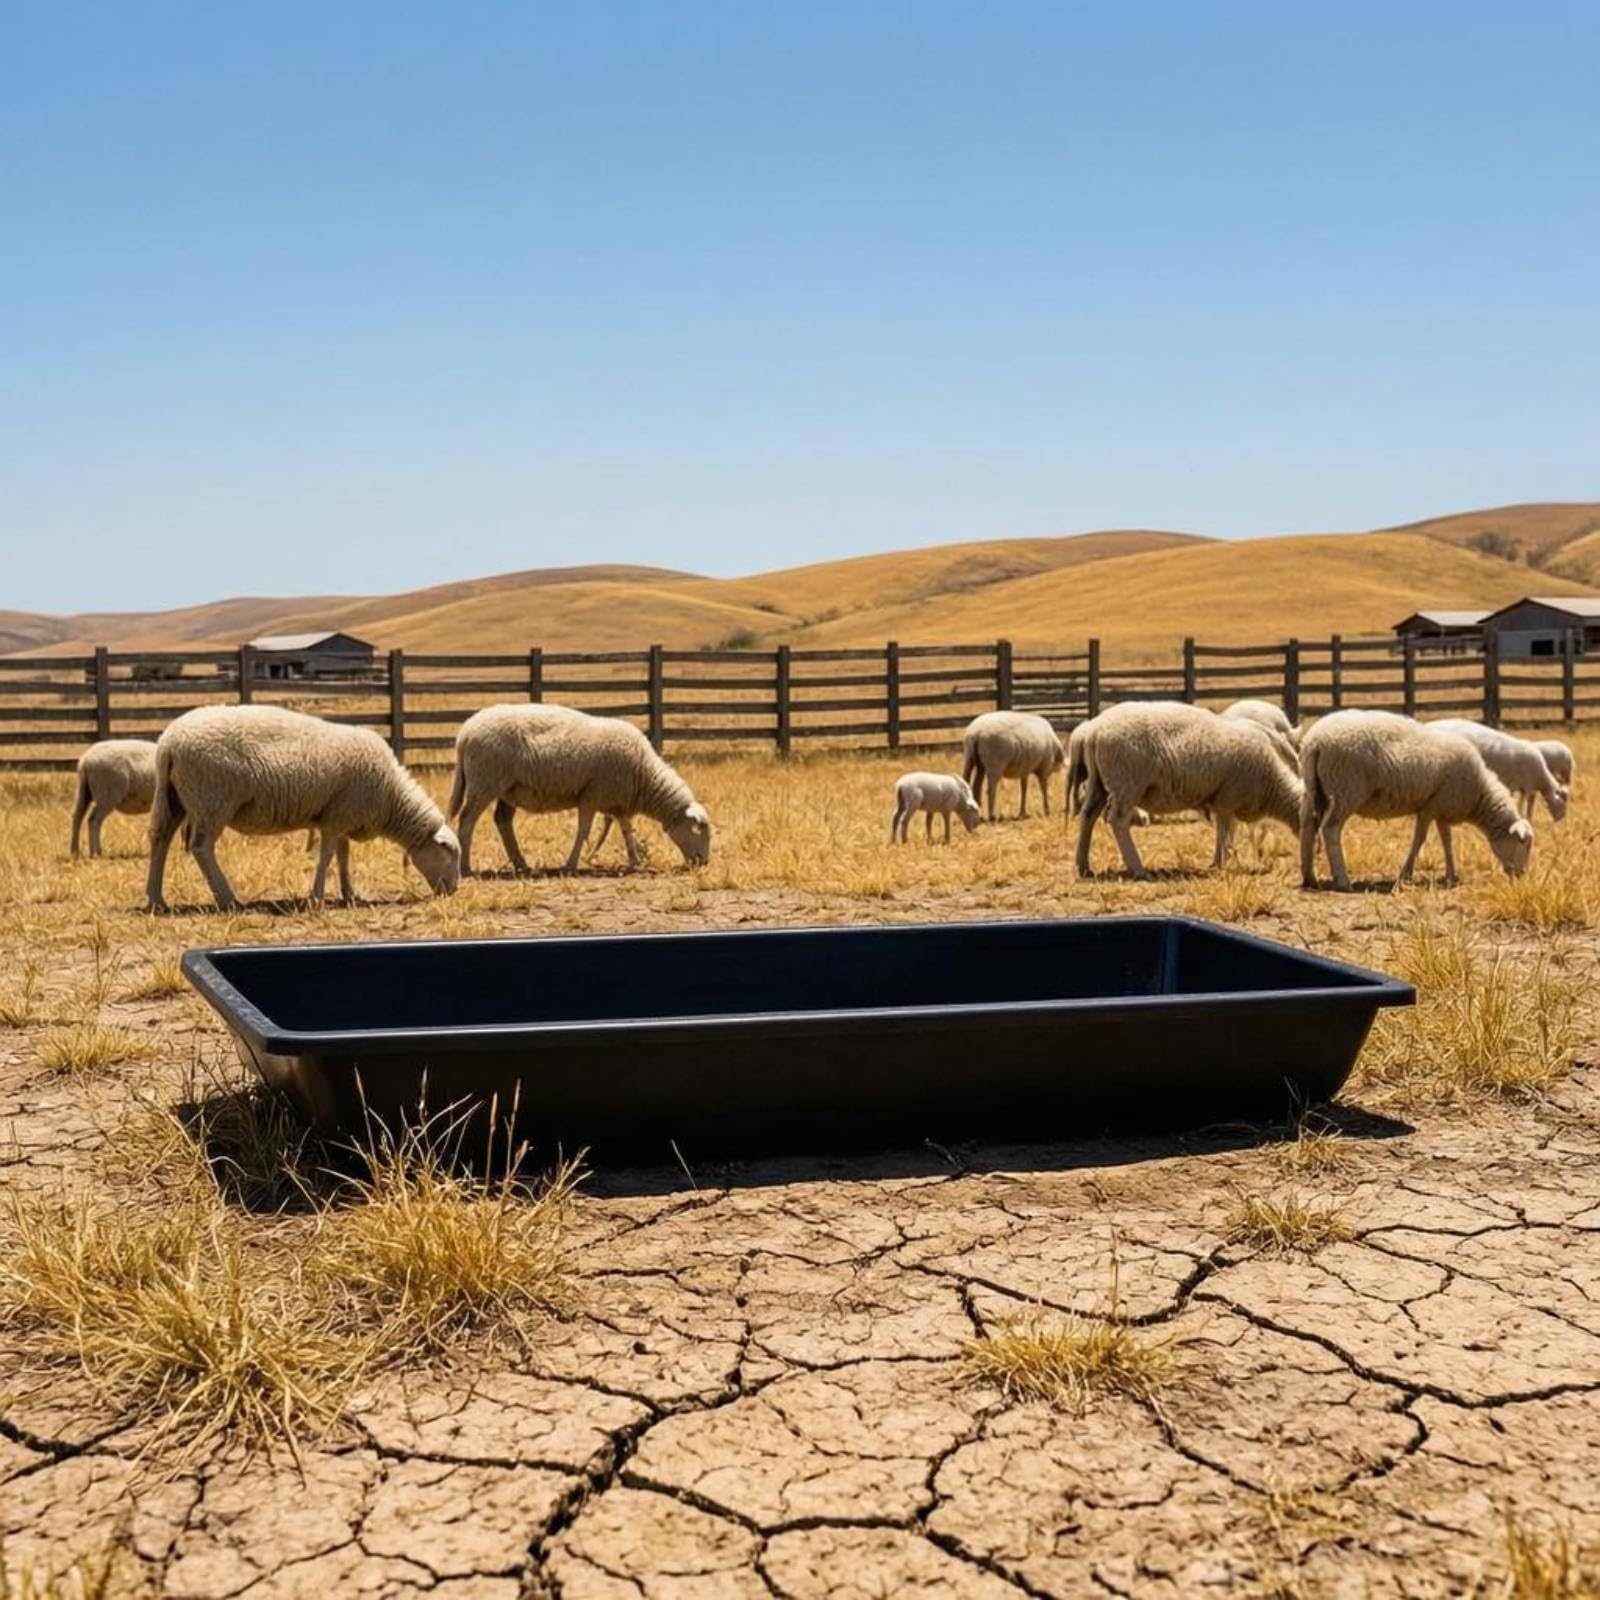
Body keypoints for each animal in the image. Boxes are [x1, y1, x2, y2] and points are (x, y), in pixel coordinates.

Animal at [145, 705, 461, 912]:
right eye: (450, 853)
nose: (454, 891)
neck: (391, 797)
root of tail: (169, 743)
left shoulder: (343, 815)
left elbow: (344, 856)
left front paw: (349, 894)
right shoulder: (337, 817)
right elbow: (328, 855)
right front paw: (317, 896)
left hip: (177, 798)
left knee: (160, 840)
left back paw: (156, 899)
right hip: (212, 799)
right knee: (201, 848)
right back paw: (227, 898)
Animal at [448, 704, 711, 874]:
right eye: (700, 830)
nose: (704, 863)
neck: (644, 775)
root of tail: (466, 731)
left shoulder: (617, 801)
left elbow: (627, 830)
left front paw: (635, 861)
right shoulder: (591, 796)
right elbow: (583, 830)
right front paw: (571, 864)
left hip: (508, 789)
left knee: (502, 821)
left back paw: (522, 864)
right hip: (484, 782)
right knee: (467, 819)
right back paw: (465, 867)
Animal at [1074, 701, 1303, 879]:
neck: (1271, 782)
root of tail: (1094, 730)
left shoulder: (1222, 801)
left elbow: (1224, 830)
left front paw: (1217, 861)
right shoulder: (1228, 797)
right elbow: (1226, 832)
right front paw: (1221, 862)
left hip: (1100, 783)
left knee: (1088, 815)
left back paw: (1083, 866)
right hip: (1127, 782)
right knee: (1119, 821)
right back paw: (1137, 868)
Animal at [1298, 710, 1532, 892]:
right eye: (1523, 843)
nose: (1521, 875)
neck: (1478, 793)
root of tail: (1316, 741)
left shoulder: (1442, 808)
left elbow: (1447, 841)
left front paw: (1451, 874)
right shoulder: (1430, 807)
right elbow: (1419, 840)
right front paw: (1405, 875)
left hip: (1315, 788)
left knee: (1308, 826)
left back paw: (1309, 877)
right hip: (1346, 788)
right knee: (1330, 829)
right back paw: (1342, 880)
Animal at [1427, 720, 1568, 821]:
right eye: (1563, 802)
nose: (1560, 820)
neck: (1541, 778)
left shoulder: (1517, 786)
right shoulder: (1525, 785)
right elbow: (1522, 804)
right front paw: (1521, 817)